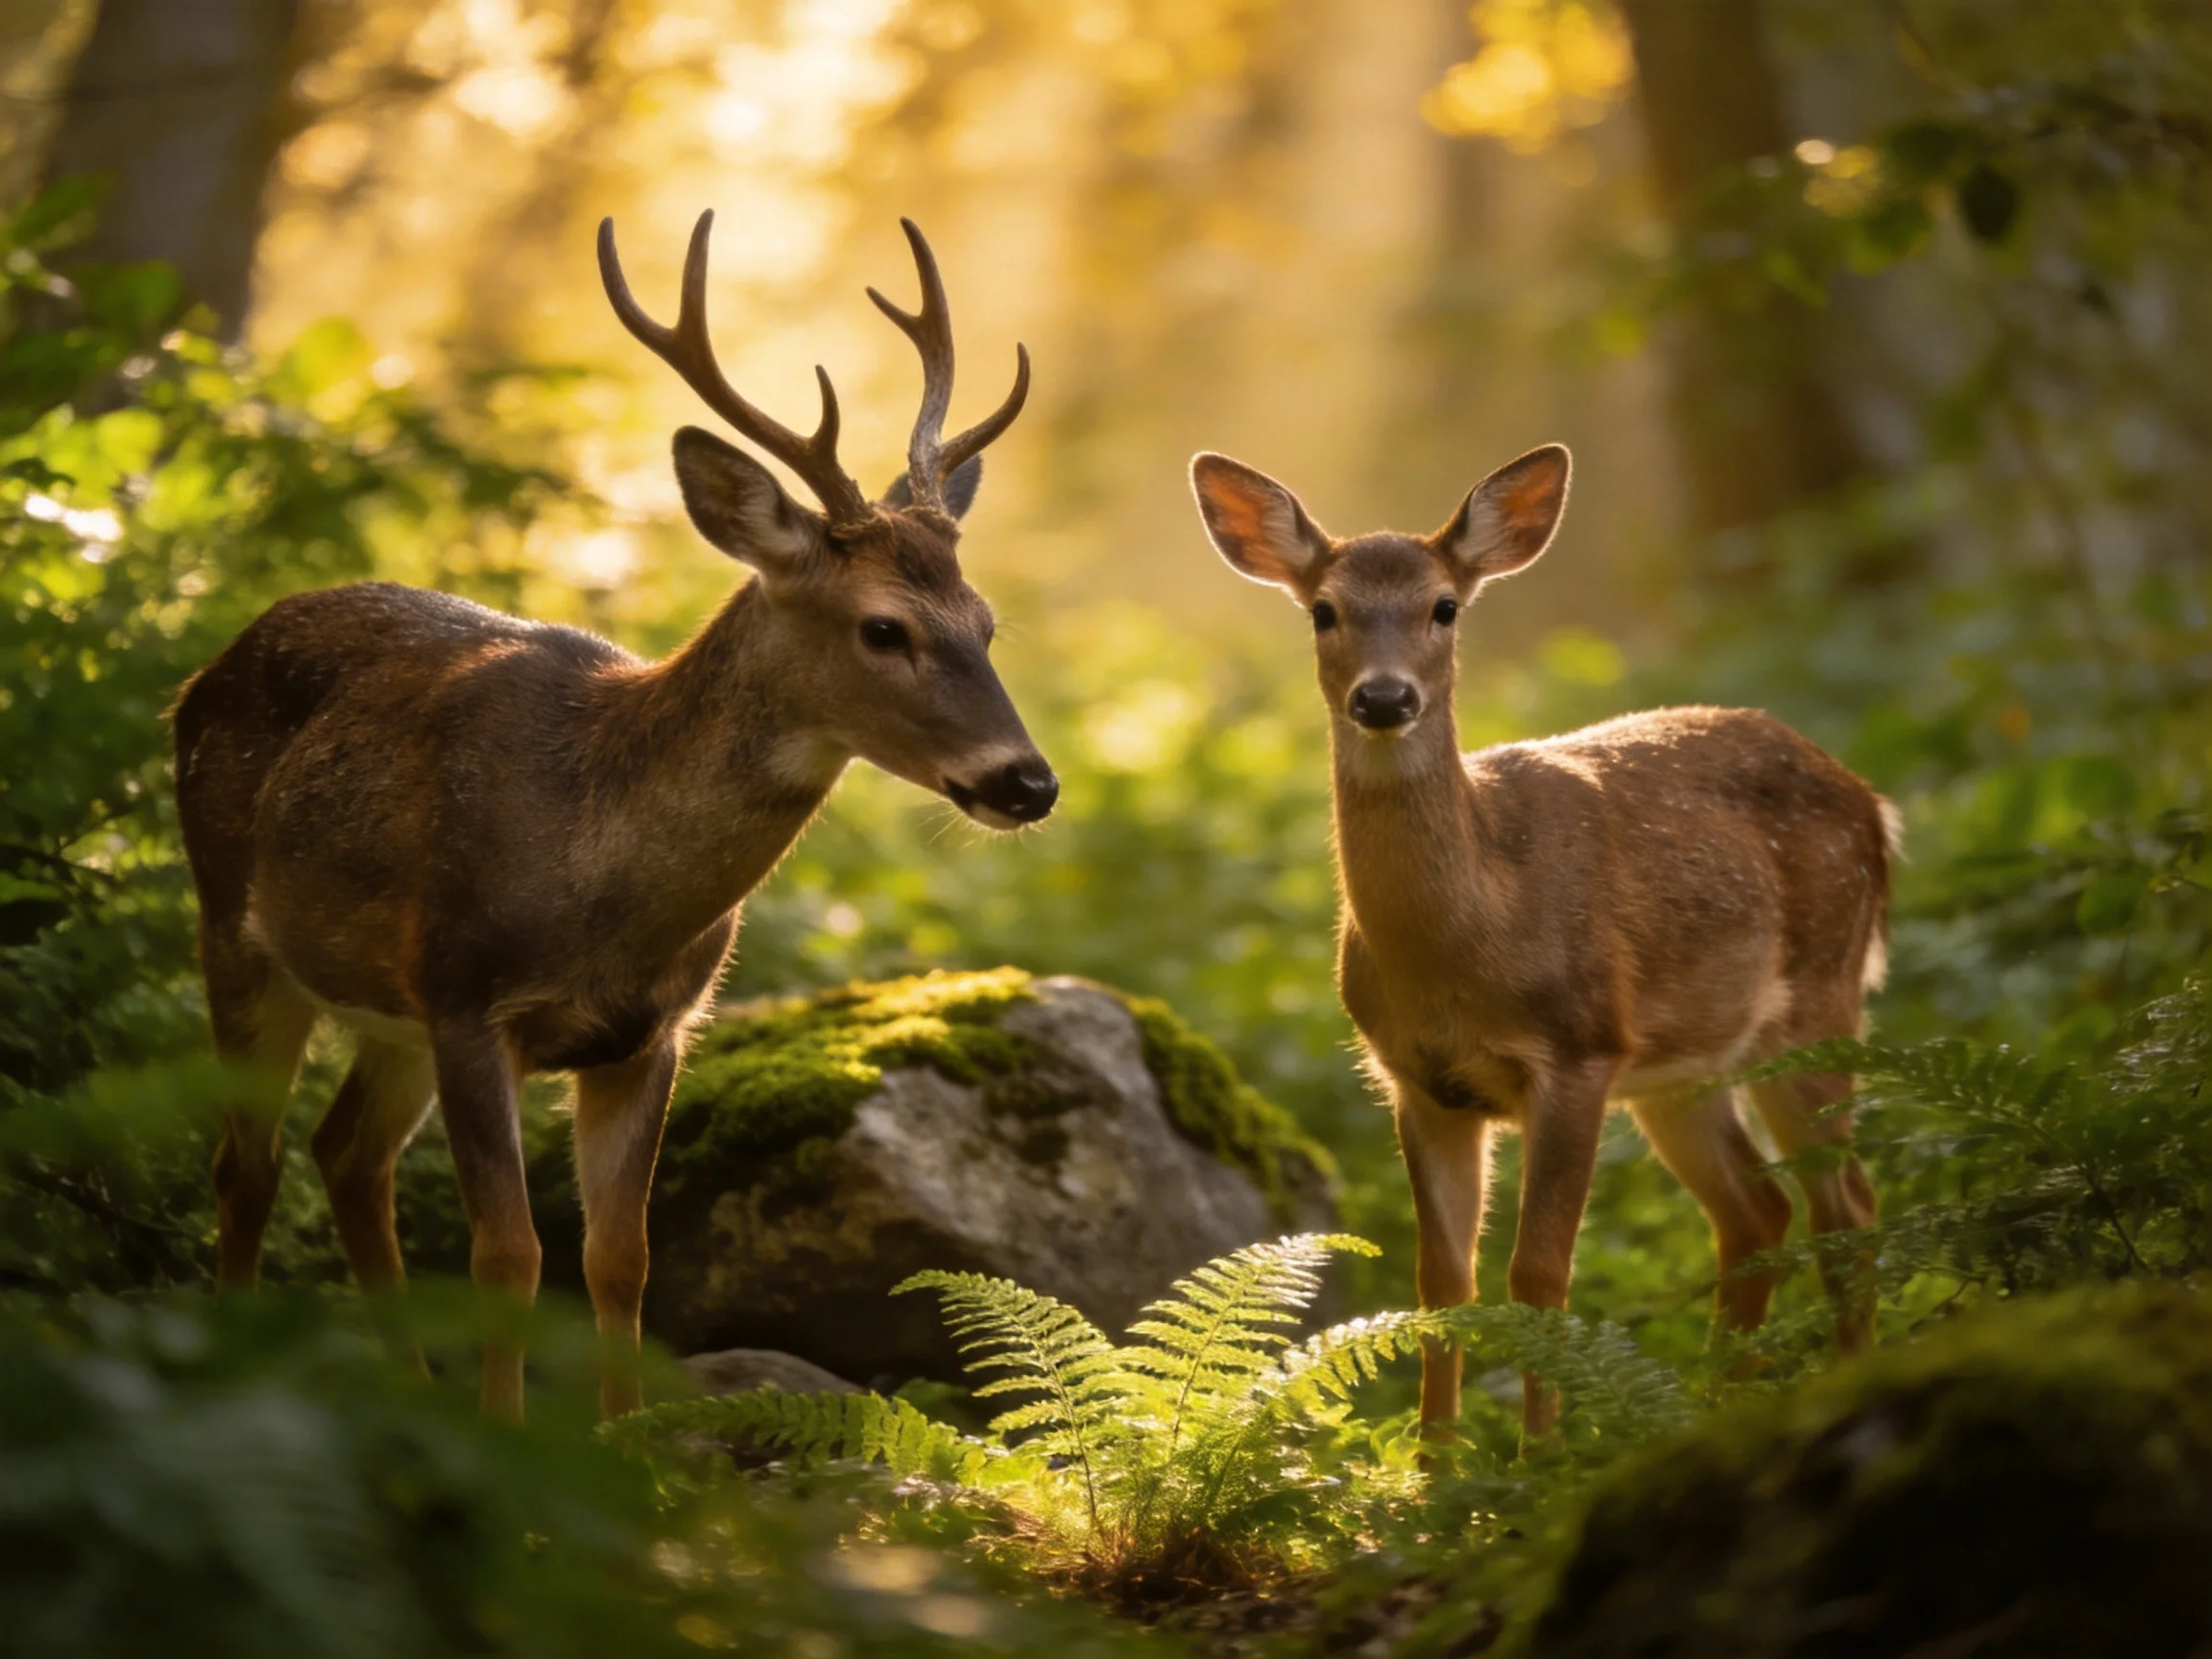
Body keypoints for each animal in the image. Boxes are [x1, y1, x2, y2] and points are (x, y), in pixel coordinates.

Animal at [173, 211, 1057, 1420]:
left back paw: (409, 1394)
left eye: (986, 621)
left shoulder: (651, 1032)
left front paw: (623, 1444)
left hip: (384, 1010)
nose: (1028, 782)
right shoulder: (469, 996)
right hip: (237, 931)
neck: (599, 884)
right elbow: (509, 1255)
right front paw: (506, 1442)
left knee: (345, 1154)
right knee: (246, 1161)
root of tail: (201, 673)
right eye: (885, 628)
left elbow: (620, 1258)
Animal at [1188, 443, 1892, 1436]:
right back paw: (1713, 1405)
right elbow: (1441, 1281)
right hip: (1681, 1069)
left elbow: (1539, 1274)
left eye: (1444, 606)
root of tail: (1874, 803)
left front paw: (1538, 1457)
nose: (1384, 697)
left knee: (1847, 1203)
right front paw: (1434, 1465)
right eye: (1324, 610)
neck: (1469, 940)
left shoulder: (1579, 1049)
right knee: (1759, 1207)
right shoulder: (1418, 1081)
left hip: (1821, 996)